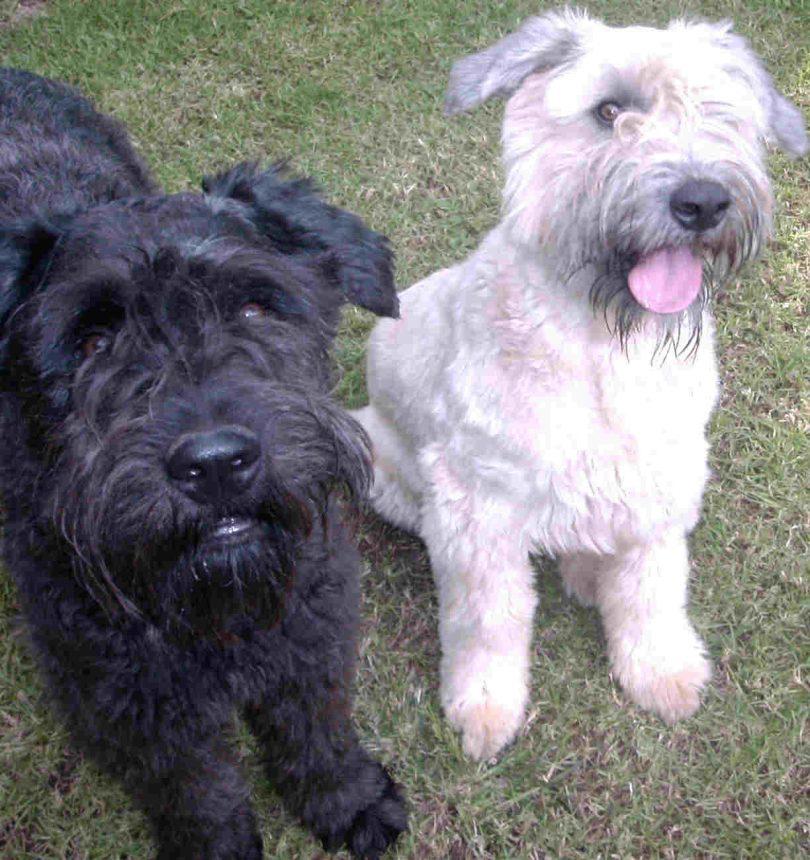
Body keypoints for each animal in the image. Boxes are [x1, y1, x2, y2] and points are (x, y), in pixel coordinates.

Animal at [0, 69, 404, 860]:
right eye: (91, 341)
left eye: (253, 307)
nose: (216, 464)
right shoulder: (127, 697)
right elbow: (198, 791)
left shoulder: (313, 622)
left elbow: (317, 731)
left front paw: (349, 802)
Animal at [354, 8, 800, 760]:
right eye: (609, 110)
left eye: (719, 110)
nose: (703, 200)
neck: (605, 346)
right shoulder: (479, 509)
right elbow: (489, 618)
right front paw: (484, 708)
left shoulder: (663, 480)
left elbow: (654, 589)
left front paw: (662, 672)